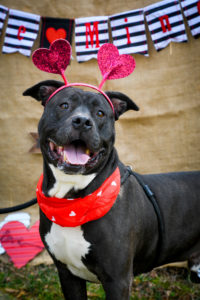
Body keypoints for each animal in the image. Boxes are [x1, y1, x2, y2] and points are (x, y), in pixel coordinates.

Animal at [22, 80, 199, 300]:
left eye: (100, 113)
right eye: (64, 105)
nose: (82, 121)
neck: (72, 202)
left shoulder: (118, 281)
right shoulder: (67, 274)